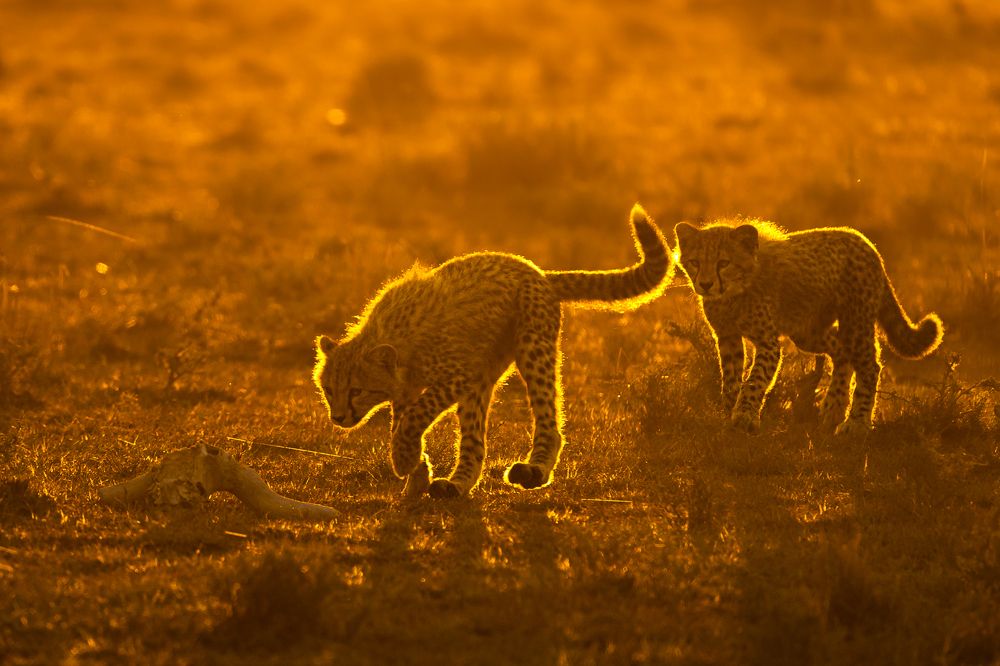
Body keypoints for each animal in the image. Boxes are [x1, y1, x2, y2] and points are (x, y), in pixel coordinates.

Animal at [314, 204, 671, 498]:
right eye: (329, 390)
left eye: (357, 390)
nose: (338, 417)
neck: (387, 337)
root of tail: (536, 270)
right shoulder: (413, 389)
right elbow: (404, 423)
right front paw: (416, 470)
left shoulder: (460, 375)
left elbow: (416, 414)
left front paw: (406, 462)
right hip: (486, 377)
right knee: (474, 443)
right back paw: (455, 485)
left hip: (531, 349)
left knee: (549, 420)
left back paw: (534, 470)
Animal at [673, 218, 943, 436]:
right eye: (695, 262)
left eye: (723, 263)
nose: (705, 284)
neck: (732, 294)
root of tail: (865, 241)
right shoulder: (727, 336)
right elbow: (730, 378)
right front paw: (730, 409)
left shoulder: (767, 342)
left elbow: (755, 379)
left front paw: (745, 415)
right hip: (807, 331)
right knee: (842, 352)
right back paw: (833, 407)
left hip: (854, 322)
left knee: (870, 365)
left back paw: (857, 423)